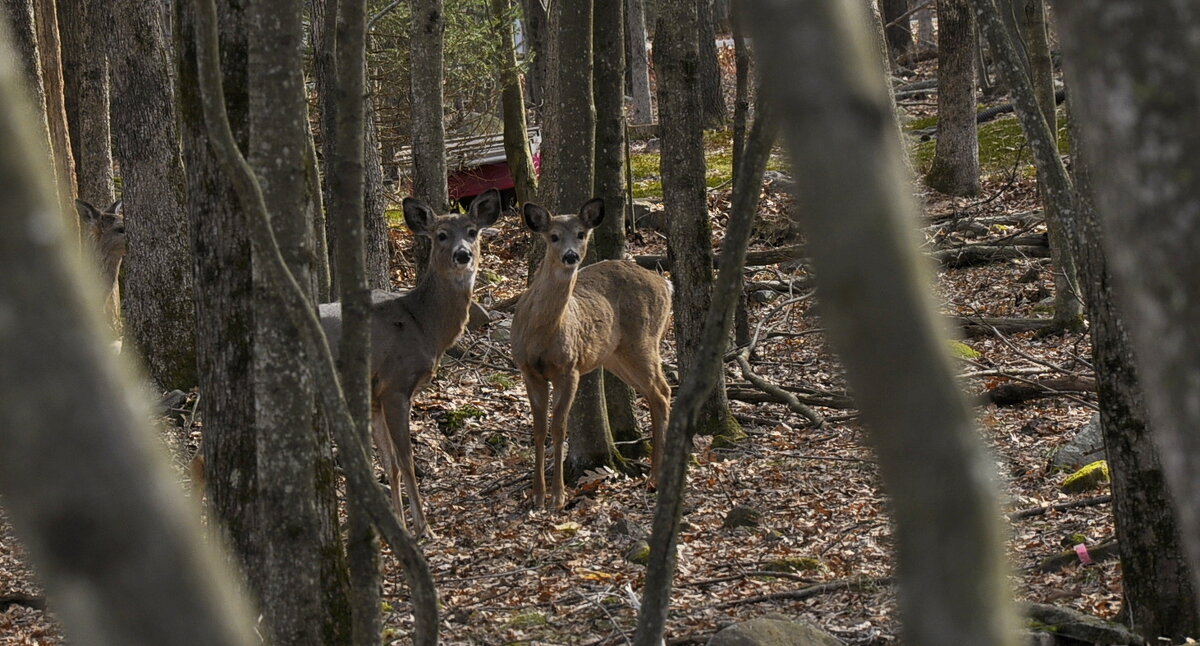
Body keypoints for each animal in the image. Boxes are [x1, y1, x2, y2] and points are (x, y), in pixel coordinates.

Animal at [319, 186, 501, 533]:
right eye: (441, 234)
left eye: (472, 231)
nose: (463, 255)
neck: (423, 324)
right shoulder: (395, 384)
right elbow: (406, 461)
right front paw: (423, 527)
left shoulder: (375, 397)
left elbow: (389, 464)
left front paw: (400, 524)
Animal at [508, 198, 672, 511]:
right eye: (553, 236)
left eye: (581, 234)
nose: (570, 256)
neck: (540, 334)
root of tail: (665, 283)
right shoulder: (528, 370)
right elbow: (539, 428)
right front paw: (537, 496)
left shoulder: (569, 367)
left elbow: (559, 426)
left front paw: (557, 497)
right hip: (615, 356)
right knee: (657, 392)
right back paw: (656, 475)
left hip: (643, 340)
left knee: (662, 390)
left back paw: (657, 477)